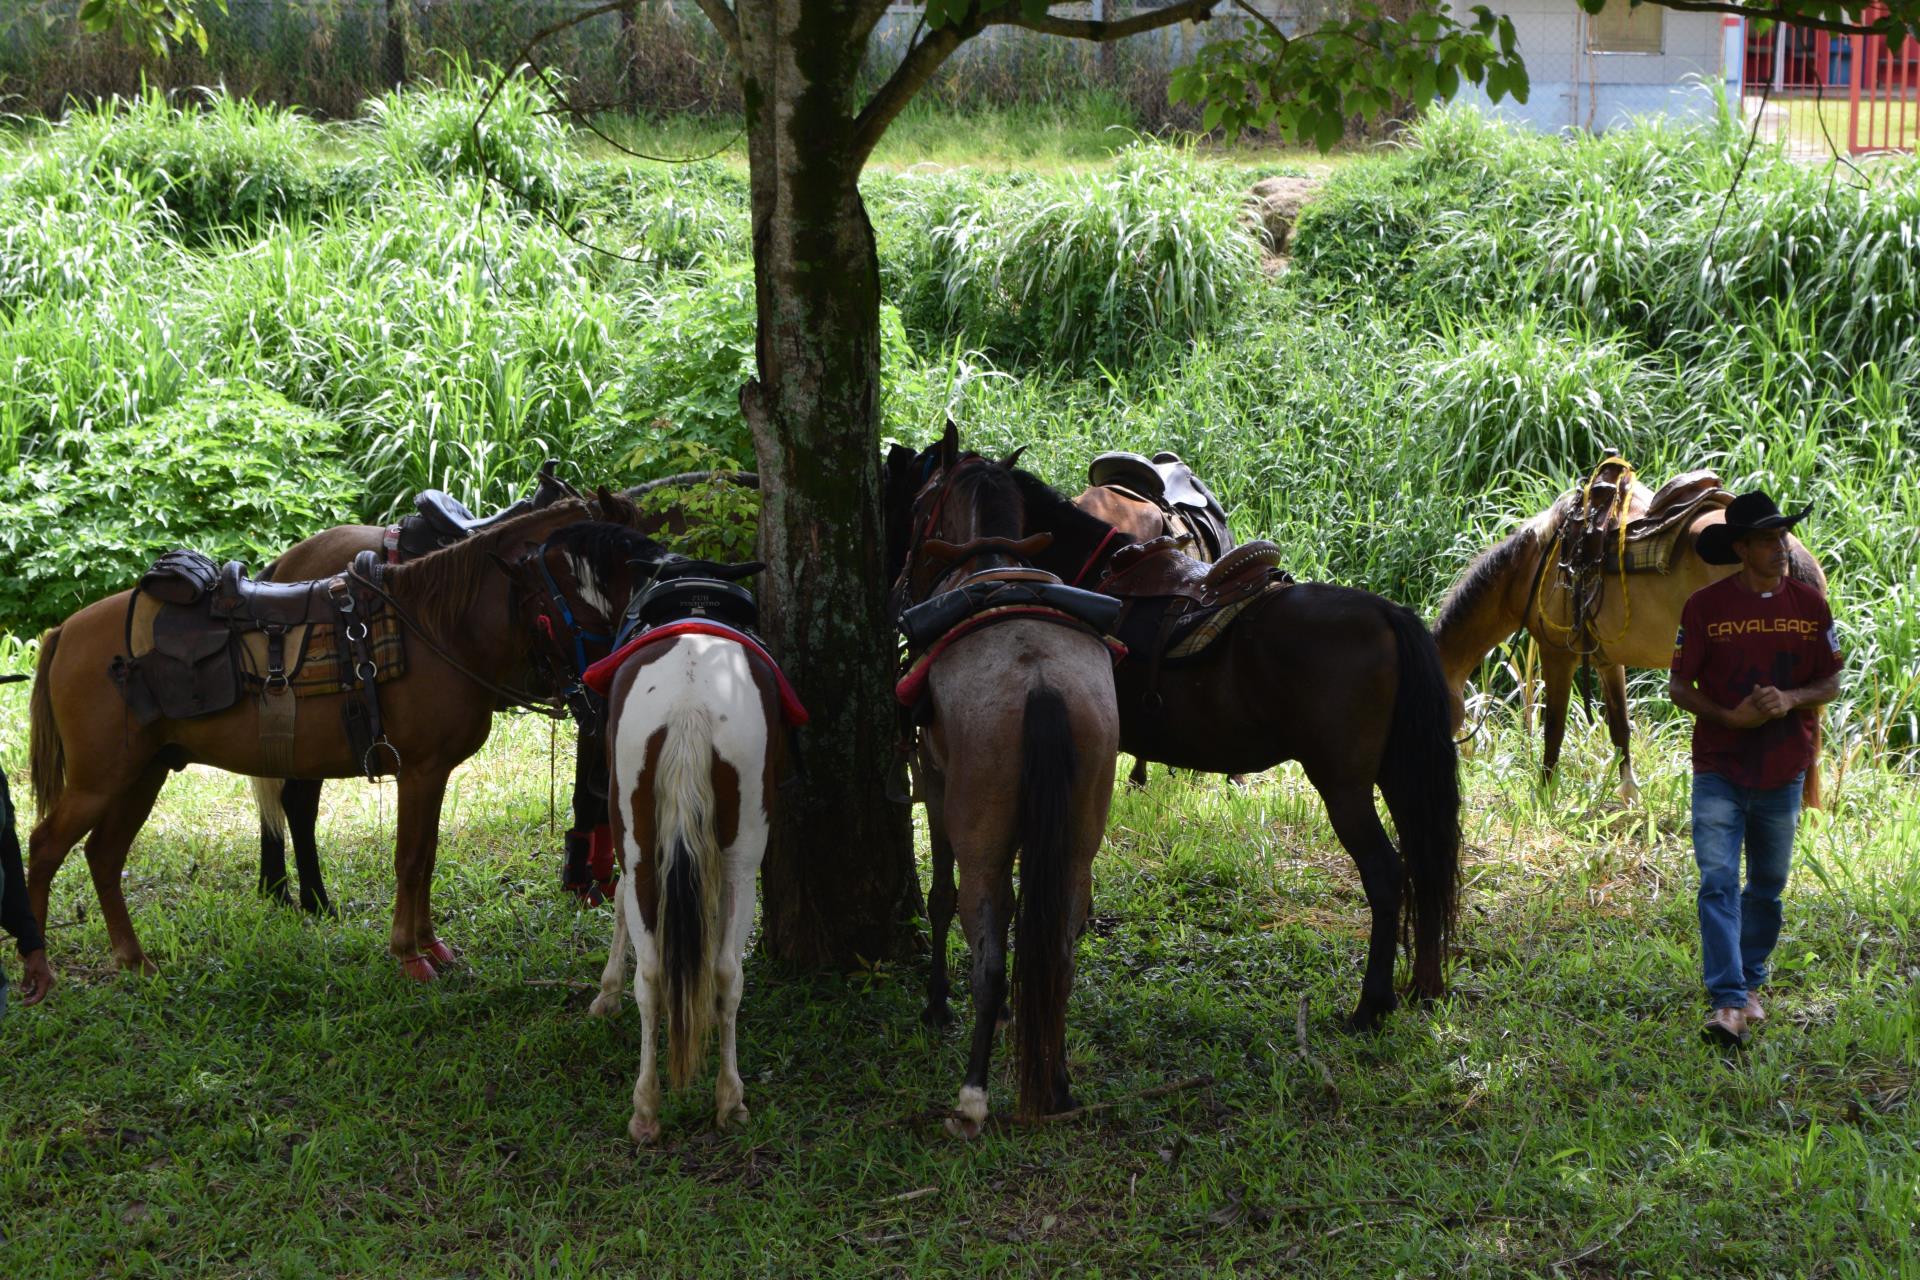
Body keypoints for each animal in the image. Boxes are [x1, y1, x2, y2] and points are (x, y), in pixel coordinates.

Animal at [24, 498, 620, 981]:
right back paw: (39, 972)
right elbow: (411, 859)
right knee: (46, 845)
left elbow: (426, 857)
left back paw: (134, 960)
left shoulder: (432, 774)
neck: (438, 626)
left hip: (140, 775)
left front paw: (430, 945)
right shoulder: (420, 771)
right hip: (100, 781)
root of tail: (65, 630)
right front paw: (409, 954)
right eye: (590, 569)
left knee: (103, 855)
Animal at [551, 523, 789, 1144]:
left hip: (644, 843)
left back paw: (650, 1105)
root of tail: (688, 704)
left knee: (655, 972)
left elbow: (616, 910)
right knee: (723, 972)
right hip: (738, 859)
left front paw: (605, 990)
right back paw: (724, 1100)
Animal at [884, 437, 1461, 1033]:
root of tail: (1388, 614)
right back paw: (1422, 985)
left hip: (1344, 786)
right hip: (1400, 775)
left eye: (911, 499)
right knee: (1427, 866)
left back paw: (1372, 1003)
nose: (898, 587)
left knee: (1387, 875)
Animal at [891, 431, 1121, 1133]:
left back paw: (973, 1092)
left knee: (989, 956)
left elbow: (940, 897)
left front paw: (937, 1001)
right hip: (1076, 845)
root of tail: (1040, 682)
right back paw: (1059, 1080)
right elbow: (1028, 915)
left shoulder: (936, 782)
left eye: (919, 505)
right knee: (1060, 953)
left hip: (982, 841)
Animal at [1431, 495, 1829, 807]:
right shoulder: (1608, 661)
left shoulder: (1557, 654)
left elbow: (1553, 730)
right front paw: (1629, 795)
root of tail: (1788, 551)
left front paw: (1544, 796)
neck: (1531, 568)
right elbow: (1620, 729)